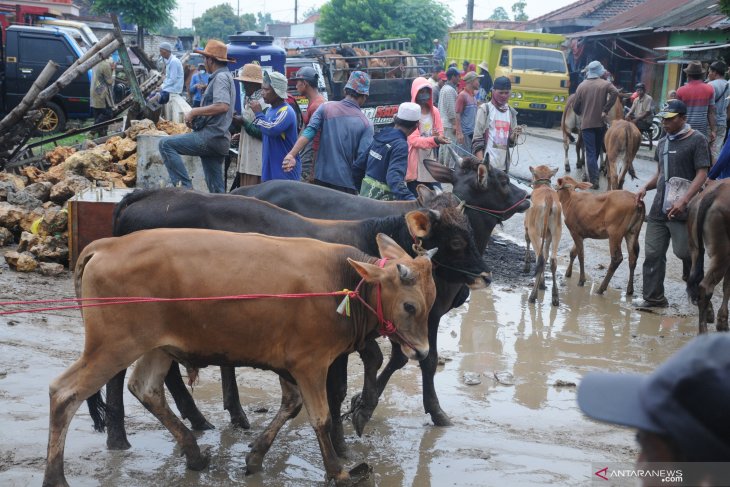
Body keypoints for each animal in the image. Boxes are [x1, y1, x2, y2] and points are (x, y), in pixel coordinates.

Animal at [42, 231, 436, 486]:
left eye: (430, 302)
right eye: (409, 306)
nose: (421, 352)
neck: (341, 282)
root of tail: (107, 245)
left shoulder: (289, 365)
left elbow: (292, 405)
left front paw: (255, 456)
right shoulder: (310, 364)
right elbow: (321, 418)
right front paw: (338, 470)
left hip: (155, 347)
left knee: (146, 389)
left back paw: (194, 453)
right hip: (112, 347)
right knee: (64, 394)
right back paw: (55, 476)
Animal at [104, 188, 490, 458]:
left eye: (471, 231)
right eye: (457, 240)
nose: (485, 275)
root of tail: (143, 195)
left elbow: (380, 360)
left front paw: (361, 410)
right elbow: (344, 384)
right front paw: (346, 433)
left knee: (165, 371)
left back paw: (200, 419)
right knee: (120, 370)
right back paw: (117, 435)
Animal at [236, 158, 528, 428]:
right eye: (503, 179)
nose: (526, 196)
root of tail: (248, 190)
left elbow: (399, 357)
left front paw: (362, 403)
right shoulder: (426, 314)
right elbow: (422, 359)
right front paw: (431, 410)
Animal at [520, 166, 560, 306]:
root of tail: (548, 198)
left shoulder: (527, 226)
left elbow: (527, 241)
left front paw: (526, 266)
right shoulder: (548, 236)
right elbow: (547, 254)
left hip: (534, 231)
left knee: (540, 258)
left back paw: (533, 296)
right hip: (557, 231)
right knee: (552, 260)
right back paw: (555, 297)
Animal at [684, 181, 724, 334]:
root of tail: (715, 193)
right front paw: (723, 323)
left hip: (694, 247)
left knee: (695, 277)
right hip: (722, 252)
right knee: (706, 287)